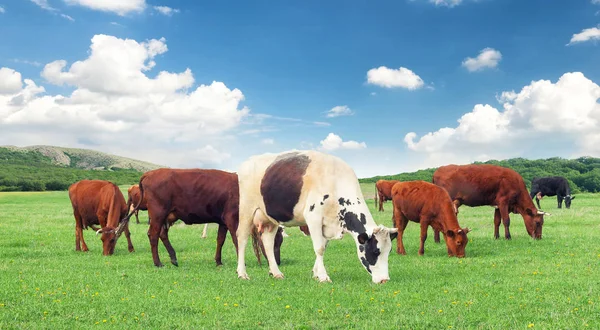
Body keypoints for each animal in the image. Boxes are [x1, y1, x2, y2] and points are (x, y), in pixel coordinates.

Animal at [125, 169, 284, 266]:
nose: (278, 262)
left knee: (162, 234)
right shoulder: (232, 218)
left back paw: (173, 258)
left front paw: (218, 261)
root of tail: (150, 173)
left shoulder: (223, 221)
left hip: (168, 216)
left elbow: (220, 240)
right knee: (153, 234)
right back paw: (158, 263)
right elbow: (236, 239)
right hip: (158, 214)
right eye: (275, 241)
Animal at [234, 150, 398, 284]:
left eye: (389, 251)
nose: (384, 280)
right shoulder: (313, 218)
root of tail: (247, 162)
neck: (335, 181)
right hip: (247, 210)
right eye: (375, 251)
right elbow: (319, 248)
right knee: (242, 238)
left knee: (268, 242)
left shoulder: (327, 224)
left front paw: (316, 273)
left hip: (270, 217)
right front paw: (323, 277)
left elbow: (323, 246)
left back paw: (276, 273)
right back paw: (242, 273)